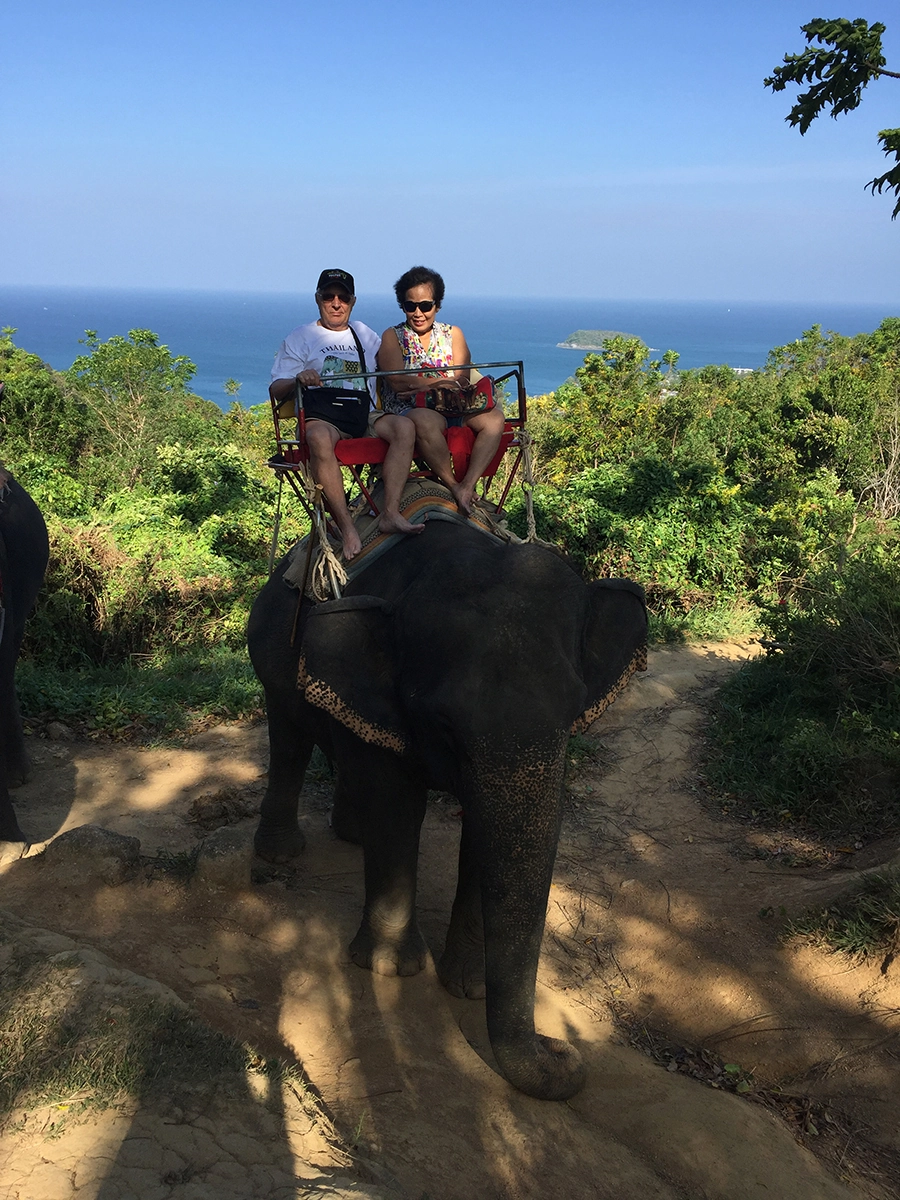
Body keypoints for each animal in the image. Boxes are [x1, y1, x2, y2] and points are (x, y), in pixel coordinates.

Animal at [248, 519, 647, 1101]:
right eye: (444, 723)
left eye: (575, 710)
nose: (561, 1048)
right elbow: (397, 805)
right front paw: (390, 971)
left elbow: (480, 828)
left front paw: (469, 988)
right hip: (272, 656)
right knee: (290, 738)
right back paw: (281, 855)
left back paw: (351, 834)